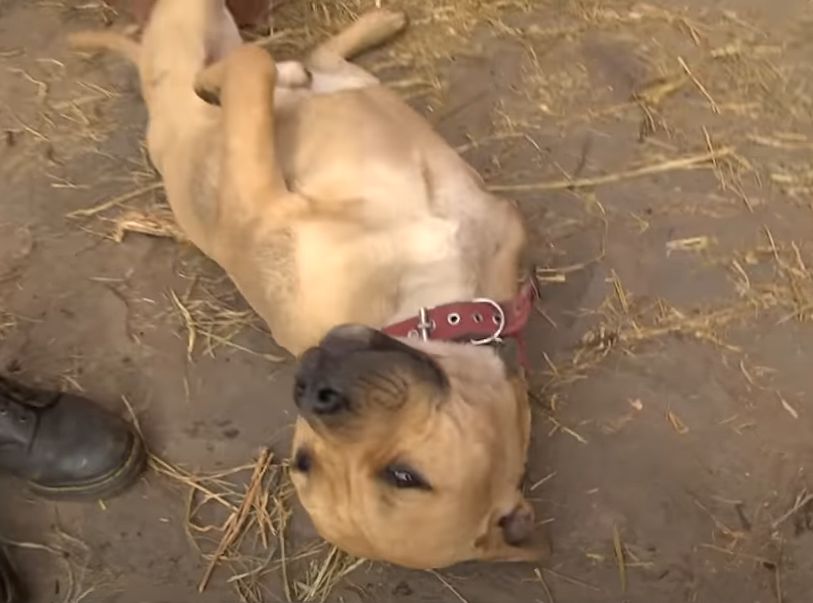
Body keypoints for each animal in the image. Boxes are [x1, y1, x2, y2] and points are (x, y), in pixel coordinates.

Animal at [66, 0, 544, 568]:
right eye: (305, 458)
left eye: (404, 476)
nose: (313, 390)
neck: (437, 302)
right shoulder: (258, 201)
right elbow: (253, 70)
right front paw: (233, 85)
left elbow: (256, 70)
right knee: (276, 58)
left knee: (302, 59)